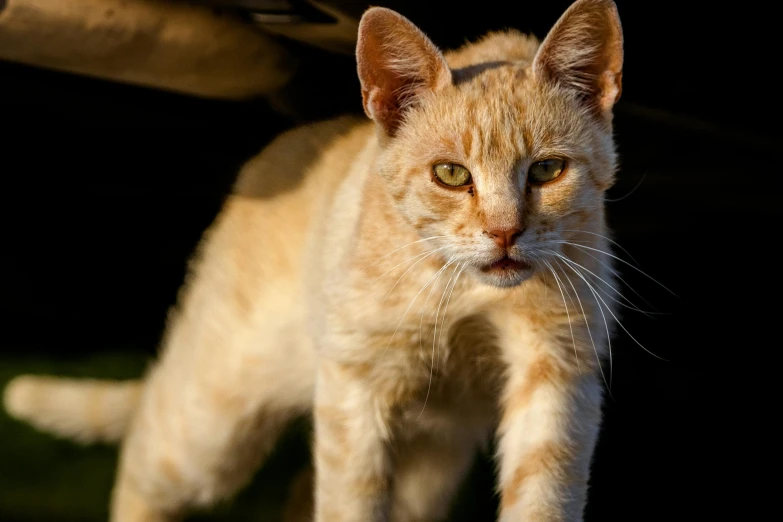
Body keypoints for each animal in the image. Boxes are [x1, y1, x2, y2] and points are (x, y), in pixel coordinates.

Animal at [1, 2, 624, 516]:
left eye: (547, 170)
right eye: (450, 174)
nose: (504, 232)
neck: (463, 290)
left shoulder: (557, 371)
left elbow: (544, 496)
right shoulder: (356, 385)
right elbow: (349, 503)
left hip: (431, 456)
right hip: (212, 421)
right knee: (144, 451)